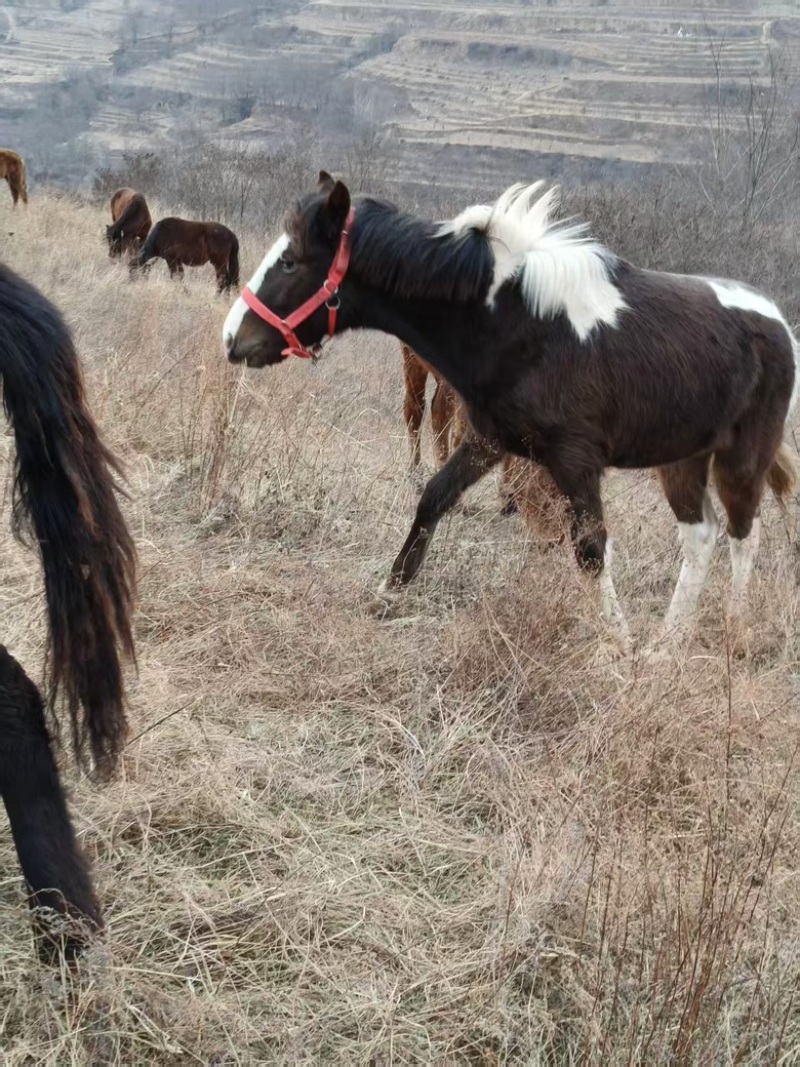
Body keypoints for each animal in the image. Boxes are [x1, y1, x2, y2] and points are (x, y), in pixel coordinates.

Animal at [222, 172, 798, 651]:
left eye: (291, 261)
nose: (232, 339)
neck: (514, 319)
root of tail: (779, 324)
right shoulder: (489, 440)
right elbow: (432, 498)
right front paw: (391, 589)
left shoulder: (575, 461)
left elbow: (590, 550)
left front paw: (618, 644)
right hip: (680, 459)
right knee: (700, 536)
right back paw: (668, 643)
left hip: (740, 460)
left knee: (744, 534)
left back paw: (731, 632)